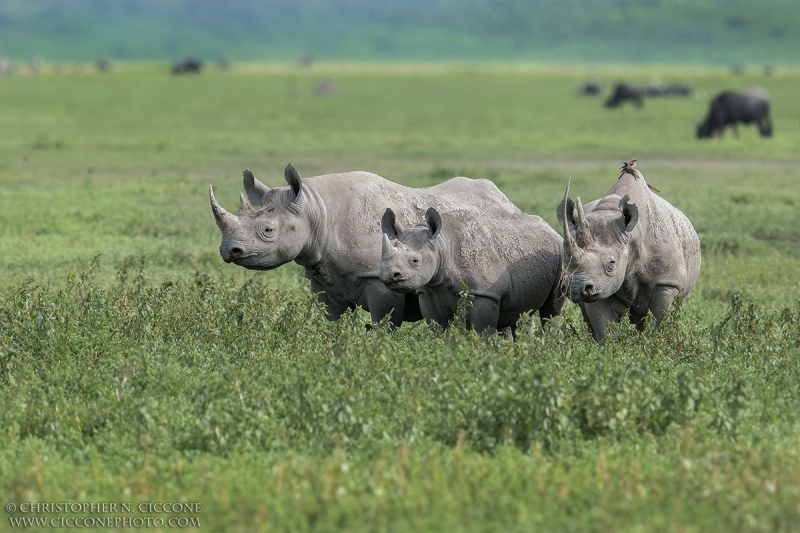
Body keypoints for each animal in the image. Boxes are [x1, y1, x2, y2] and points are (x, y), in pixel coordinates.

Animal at [208, 164, 520, 326]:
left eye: (268, 230)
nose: (229, 251)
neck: (315, 208)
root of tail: (507, 200)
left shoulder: (377, 277)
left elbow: (383, 321)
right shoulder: (323, 279)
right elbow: (331, 323)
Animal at [378, 206, 564, 334]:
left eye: (415, 261)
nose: (389, 276)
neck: (442, 245)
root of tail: (550, 228)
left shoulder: (485, 294)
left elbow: (481, 332)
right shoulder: (429, 292)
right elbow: (439, 330)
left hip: (560, 252)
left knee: (552, 310)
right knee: (523, 312)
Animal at [556, 162, 700, 342]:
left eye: (611, 264)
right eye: (565, 261)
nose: (575, 288)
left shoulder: (667, 281)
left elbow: (660, 320)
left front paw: (656, 344)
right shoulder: (600, 285)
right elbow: (604, 329)